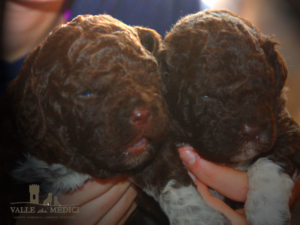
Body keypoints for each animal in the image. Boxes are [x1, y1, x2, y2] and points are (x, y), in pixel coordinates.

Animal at [0, 14, 230, 224]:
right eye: (86, 92)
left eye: (150, 71)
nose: (143, 114)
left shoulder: (153, 148)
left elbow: (169, 178)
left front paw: (200, 218)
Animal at [161, 9, 300, 225]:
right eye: (206, 95)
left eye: (265, 82)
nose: (251, 131)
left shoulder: (282, 124)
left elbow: (270, 161)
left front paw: (266, 209)